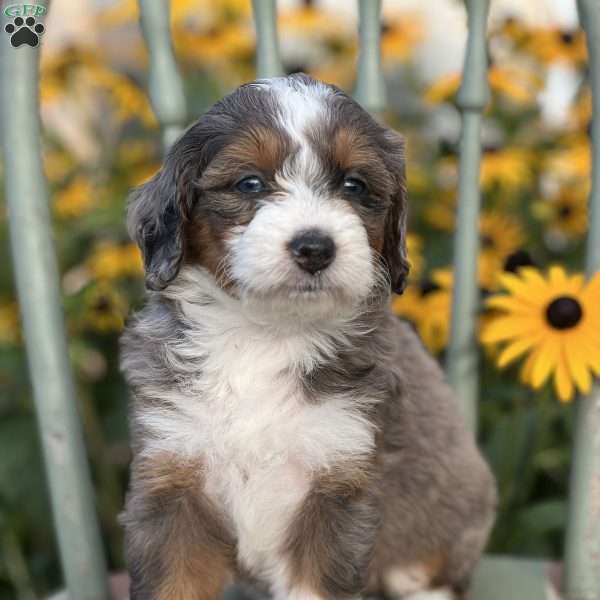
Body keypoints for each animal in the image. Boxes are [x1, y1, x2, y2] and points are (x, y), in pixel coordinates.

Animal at [120, 74, 496, 600]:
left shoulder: (336, 485)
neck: (264, 335)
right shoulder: (174, 480)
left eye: (354, 185)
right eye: (250, 183)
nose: (315, 247)